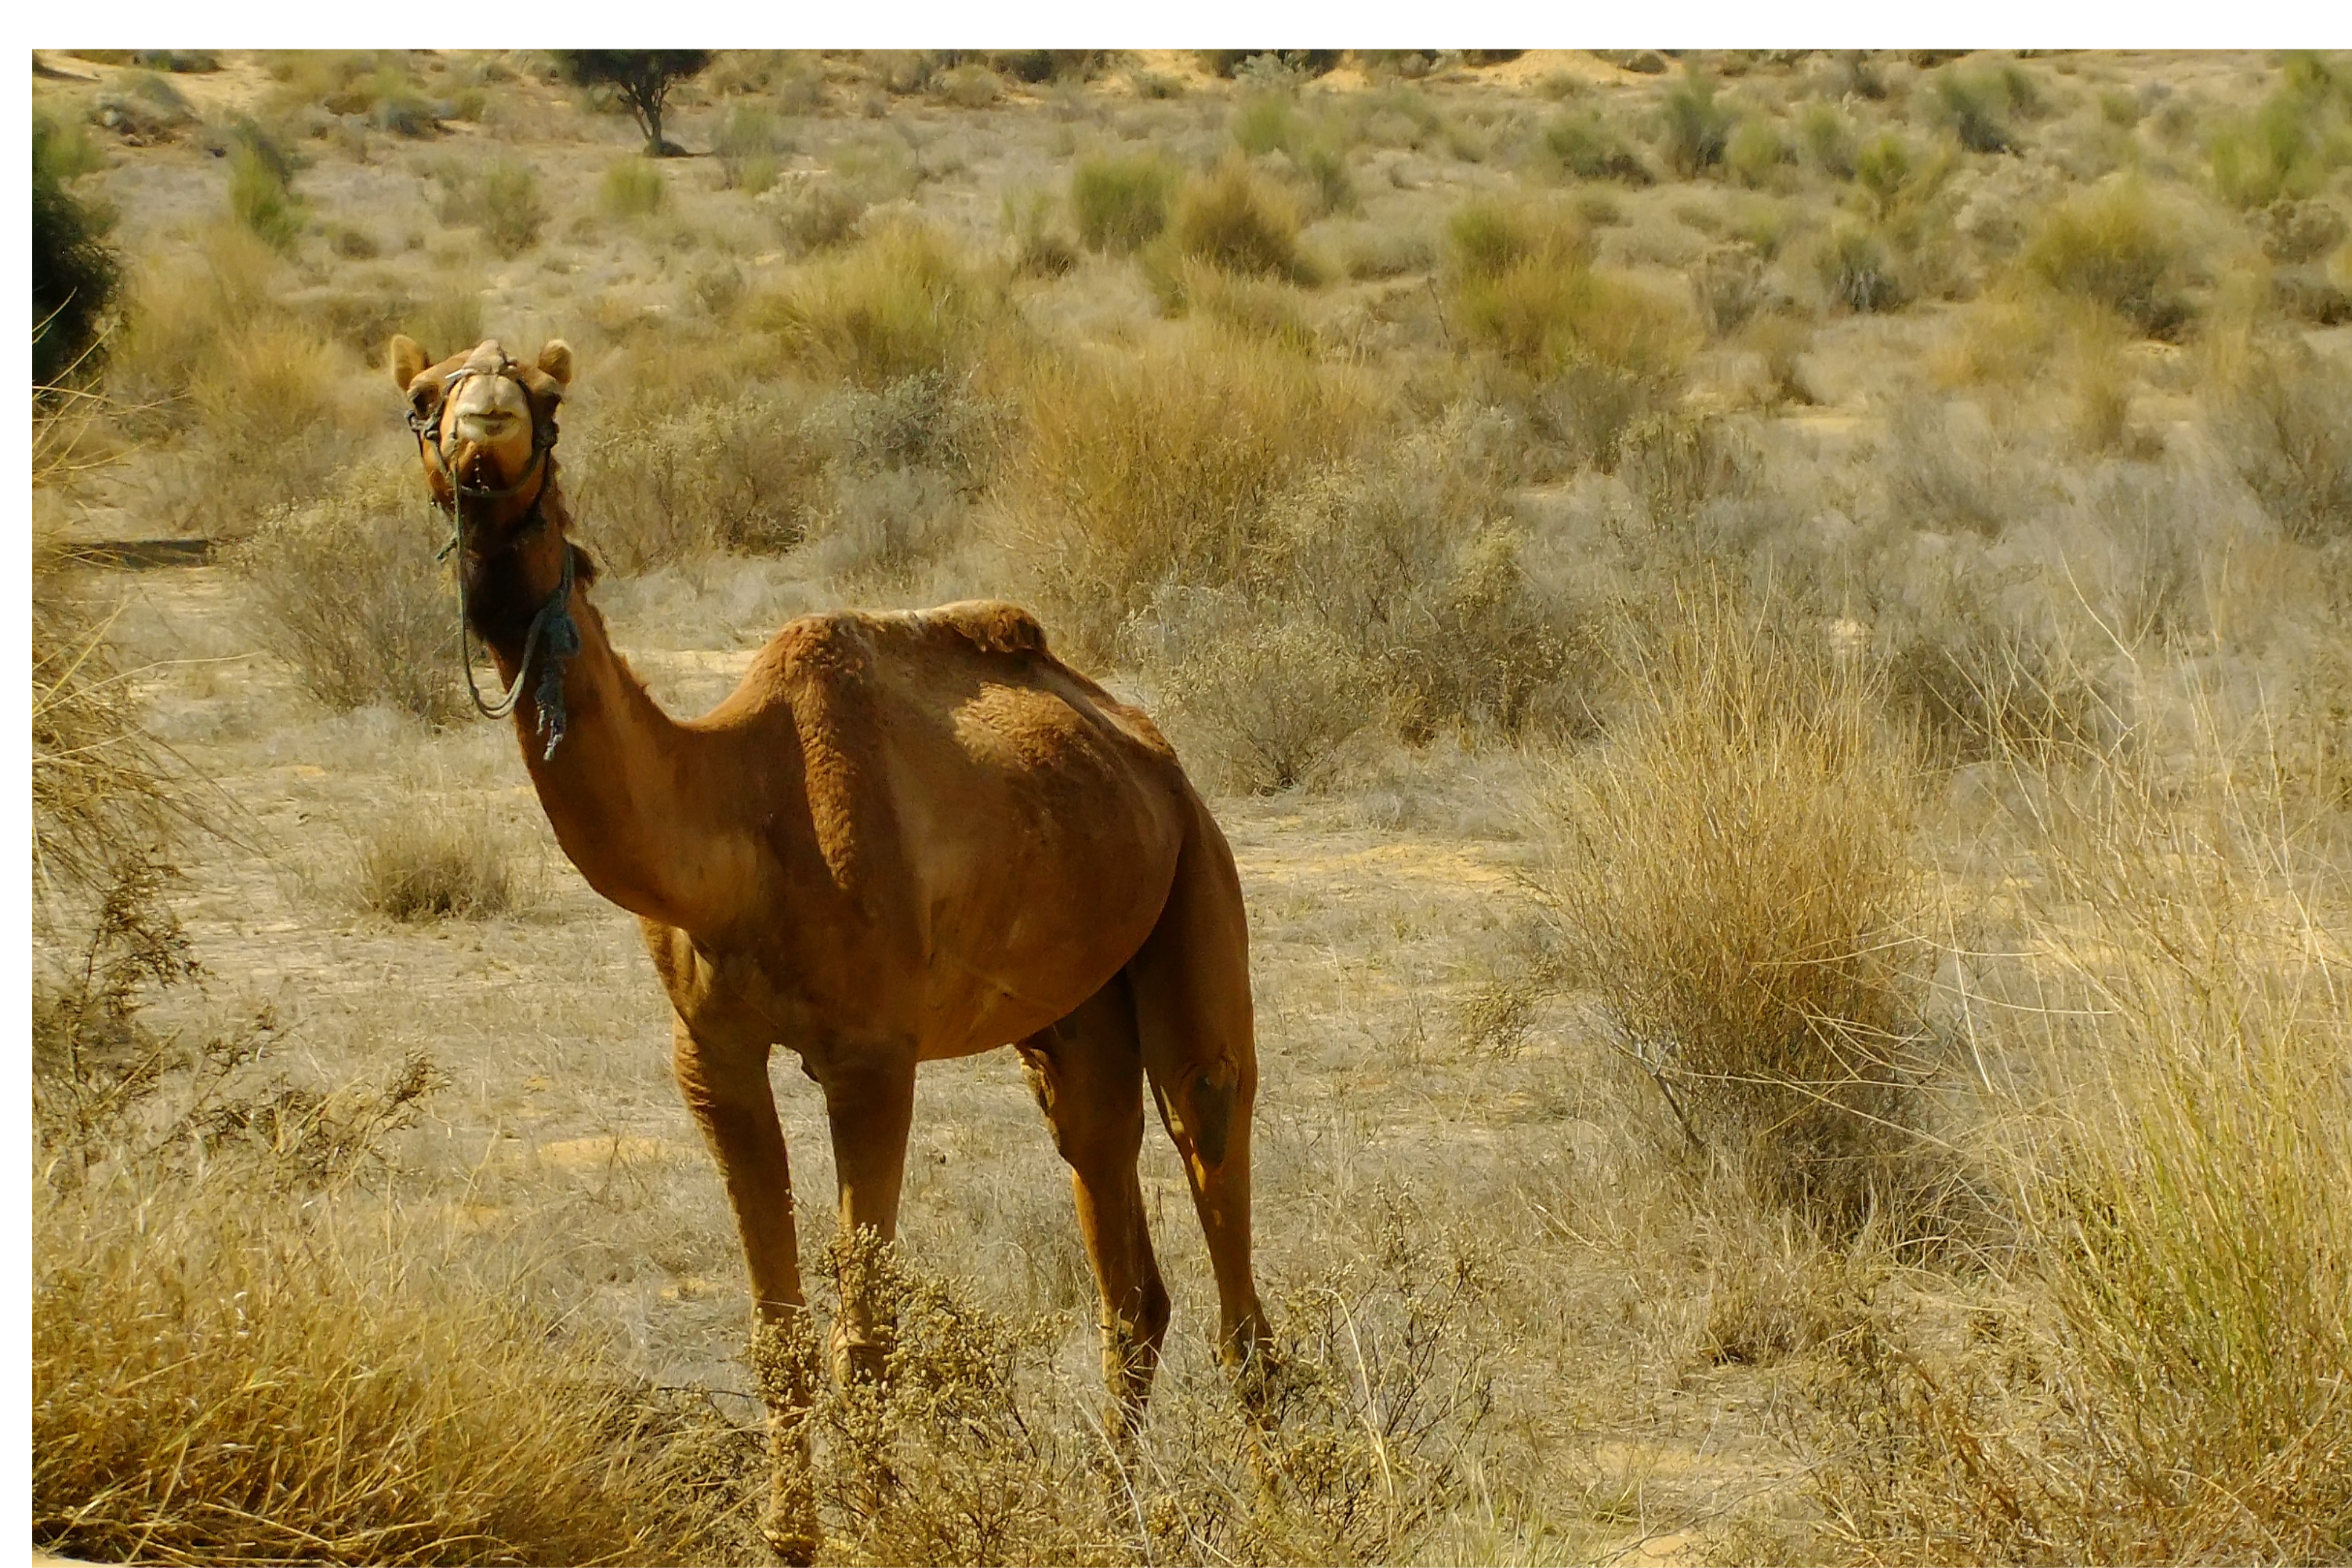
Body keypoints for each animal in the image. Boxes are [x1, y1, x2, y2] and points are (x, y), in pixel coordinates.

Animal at [389, 336, 1270, 1560]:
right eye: (421, 401)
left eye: (547, 400)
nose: (484, 434)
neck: (740, 812)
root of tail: (1152, 751)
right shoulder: (710, 1055)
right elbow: (781, 1331)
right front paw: (790, 1537)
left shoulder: (872, 1057)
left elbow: (868, 1335)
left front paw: (882, 1528)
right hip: (1075, 1015)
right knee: (1123, 1251)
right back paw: (1113, 1511)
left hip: (1197, 891)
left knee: (1217, 1170)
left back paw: (1286, 1503)